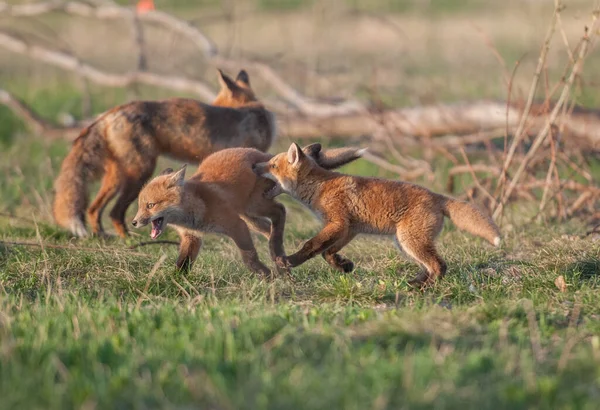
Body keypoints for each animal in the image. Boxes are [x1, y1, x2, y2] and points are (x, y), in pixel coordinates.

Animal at [52, 69, 276, 239]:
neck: (251, 110)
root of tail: (109, 113)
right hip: (140, 172)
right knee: (115, 212)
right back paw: (128, 240)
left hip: (117, 175)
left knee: (93, 208)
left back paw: (102, 237)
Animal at [253, 144, 502, 288]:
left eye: (272, 165)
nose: (254, 165)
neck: (320, 188)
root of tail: (437, 195)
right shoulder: (349, 228)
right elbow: (327, 252)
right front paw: (343, 266)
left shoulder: (337, 222)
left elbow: (311, 246)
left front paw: (289, 261)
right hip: (405, 242)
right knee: (430, 266)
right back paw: (414, 284)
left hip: (410, 241)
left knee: (440, 266)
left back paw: (424, 290)